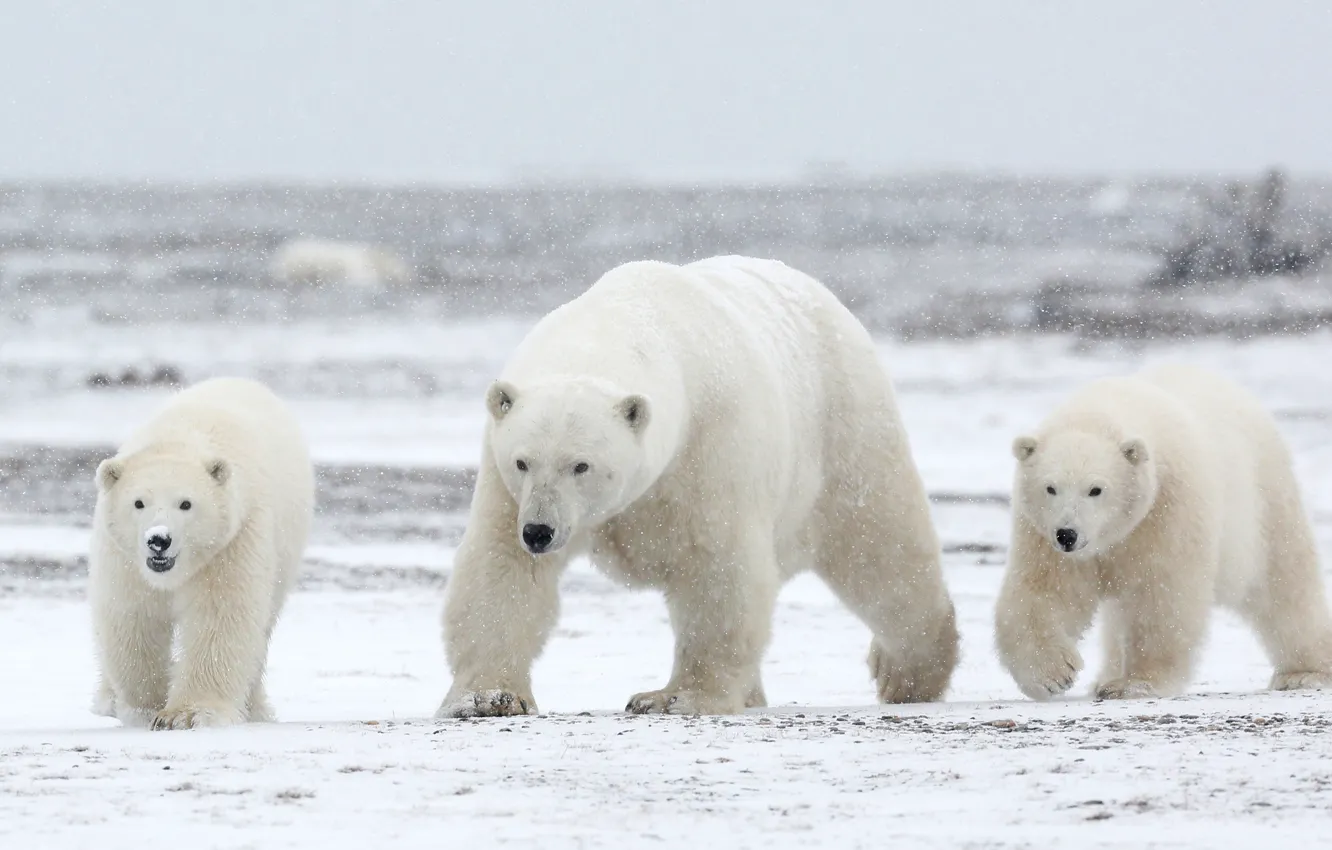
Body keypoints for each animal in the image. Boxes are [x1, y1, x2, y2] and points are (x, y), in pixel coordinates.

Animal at [89, 381, 315, 735]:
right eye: (138, 502)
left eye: (186, 503)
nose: (159, 541)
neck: (179, 438)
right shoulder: (123, 557)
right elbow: (132, 616)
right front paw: (145, 708)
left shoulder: (233, 540)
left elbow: (220, 616)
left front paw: (186, 715)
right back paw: (107, 699)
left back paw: (255, 708)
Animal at [436, 254, 959, 719]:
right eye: (523, 461)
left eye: (581, 465)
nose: (540, 532)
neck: (625, 319)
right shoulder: (506, 484)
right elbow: (502, 567)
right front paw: (488, 697)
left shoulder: (711, 443)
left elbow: (718, 566)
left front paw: (672, 697)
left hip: (844, 428)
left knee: (880, 549)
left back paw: (907, 673)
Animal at [996, 362, 1332, 703]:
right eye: (1050, 487)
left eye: (1095, 489)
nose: (1067, 534)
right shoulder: (1042, 534)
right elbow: (1044, 590)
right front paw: (1052, 674)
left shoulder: (1168, 508)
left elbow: (1162, 594)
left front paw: (1136, 682)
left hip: (1262, 501)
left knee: (1284, 584)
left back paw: (1304, 672)